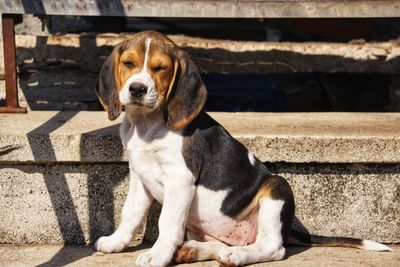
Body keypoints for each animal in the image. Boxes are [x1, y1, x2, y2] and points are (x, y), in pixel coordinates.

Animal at [94, 30, 390, 266]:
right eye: (128, 63)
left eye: (161, 68)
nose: (137, 89)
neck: (147, 125)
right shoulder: (139, 175)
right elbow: (130, 213)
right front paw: (115, 242)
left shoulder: (180, 178)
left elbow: (166, 221)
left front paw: (157, 255)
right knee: (225, 244)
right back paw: (194, 251)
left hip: (277, 189)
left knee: (272, 247)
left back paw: (237, 256)